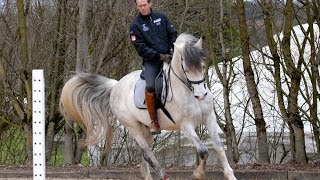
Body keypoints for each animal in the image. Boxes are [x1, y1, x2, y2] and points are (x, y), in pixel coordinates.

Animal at [60, 33, 236, 180]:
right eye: (186, 69)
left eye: (203, 66)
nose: (201, 95)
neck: (188, 91)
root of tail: (116, 85)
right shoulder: (186, 126)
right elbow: (203, 151)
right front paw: (198, 174)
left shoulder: (210, 119)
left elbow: (219, 147)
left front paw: (230, 175)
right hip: (133, 127)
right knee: (148, 154)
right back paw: (164, 176)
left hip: (148, 129)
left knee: (144, 155)